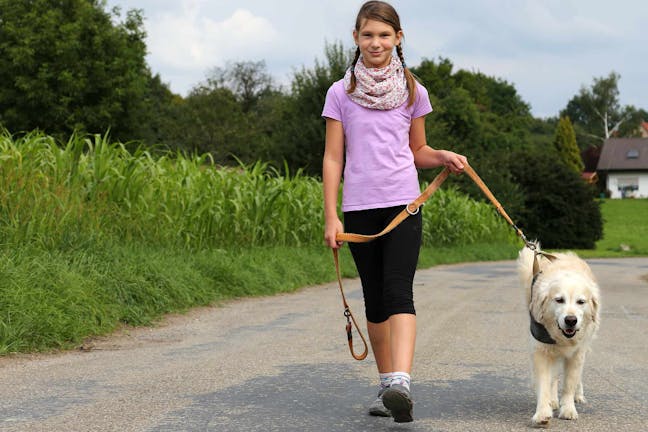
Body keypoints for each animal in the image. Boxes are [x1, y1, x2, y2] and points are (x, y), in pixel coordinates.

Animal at [516, 245, 604, 426]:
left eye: (581, 302)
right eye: (559, 300)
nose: (571, 320)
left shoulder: (577, 353)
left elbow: (570, 383)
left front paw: (568, 409)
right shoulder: (541, 351)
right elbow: (544, 383)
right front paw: (543, 412)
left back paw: (578, 395)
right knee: (554, 377)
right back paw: (553, 400)